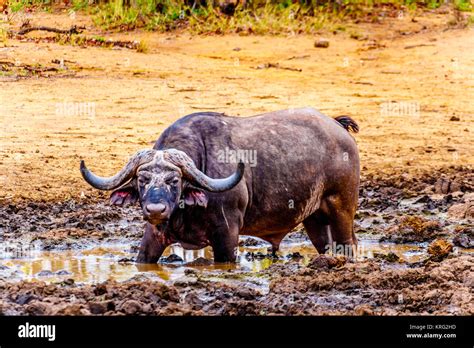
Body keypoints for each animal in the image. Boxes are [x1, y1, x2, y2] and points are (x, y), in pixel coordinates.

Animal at [79, 107, 360, 262]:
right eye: (142, 180)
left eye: (174, 180)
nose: (155, 210)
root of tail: (338, 126)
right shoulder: (154, 235)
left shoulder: (227, 235)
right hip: (314, 218)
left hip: (342, 209)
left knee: (350, 245)